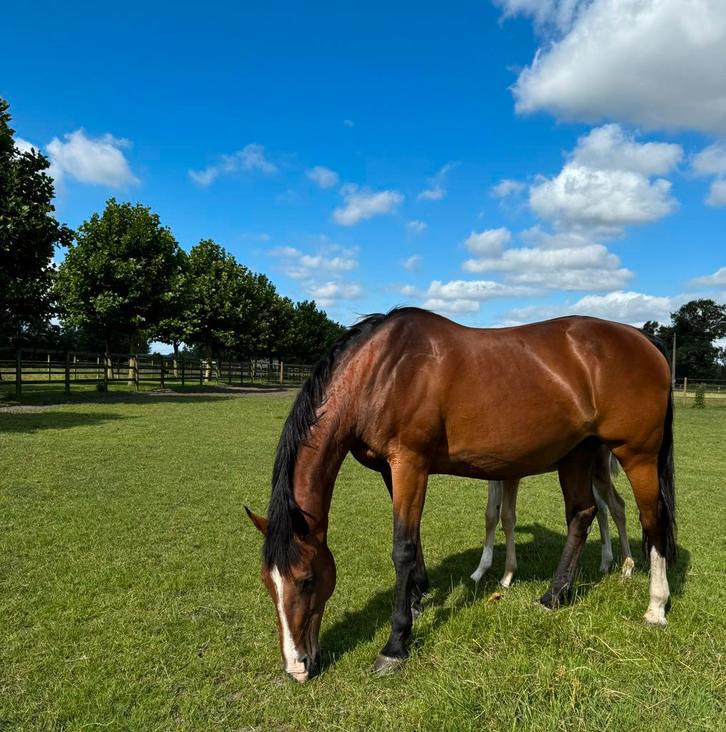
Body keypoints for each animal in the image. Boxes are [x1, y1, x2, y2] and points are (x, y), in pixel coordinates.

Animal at [470, 445, 634, 588]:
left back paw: (627, 568)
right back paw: (606, 563)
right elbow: (491, 515)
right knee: (602, 508)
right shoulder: (494, 473)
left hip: (599, 466)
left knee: (617, 506)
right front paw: (479, 571)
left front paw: (507, 577)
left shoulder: (513, 473)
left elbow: (507, 516)